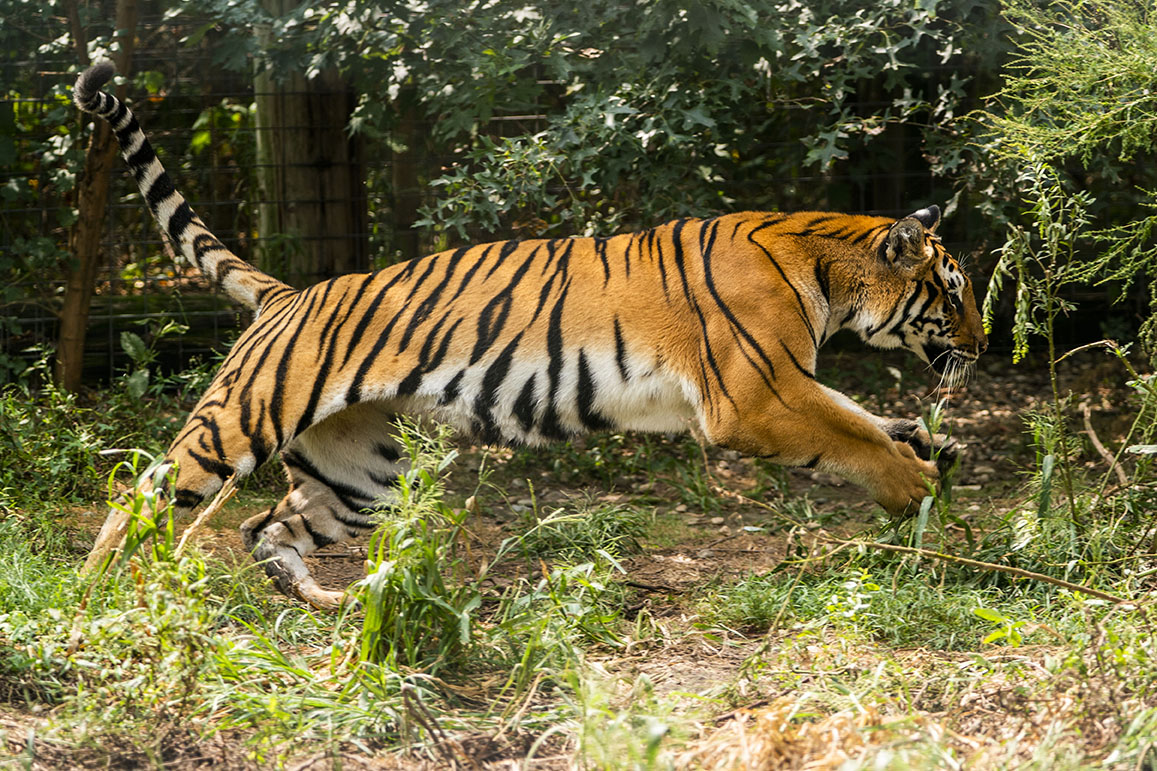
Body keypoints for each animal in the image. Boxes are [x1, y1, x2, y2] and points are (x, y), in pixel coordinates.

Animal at [74, 63, 985, 606]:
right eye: (951, 290)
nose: (980, 347)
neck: (828, 273)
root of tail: (286, 293)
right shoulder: (755, 395)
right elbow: (850, 435)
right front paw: (912, 483)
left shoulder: (784, 383)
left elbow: (860, 418)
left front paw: (932, 444)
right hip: (241, 421)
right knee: (141, 496)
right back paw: (93, 596)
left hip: (359, 471)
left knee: (265, 526)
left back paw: (330, 601)